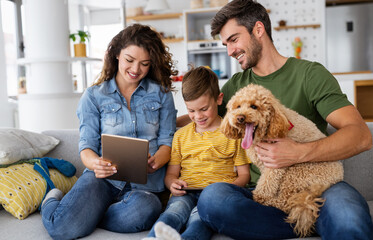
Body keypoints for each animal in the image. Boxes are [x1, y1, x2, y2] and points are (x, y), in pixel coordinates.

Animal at [221, 83, 342, 237]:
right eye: (237, 106)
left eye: (254, 106)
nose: (240, 117)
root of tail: (338, 175)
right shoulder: (263, 164)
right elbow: (265, 181)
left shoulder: (275, 163)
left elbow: (266, 183)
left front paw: (260, 195)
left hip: (296, 172)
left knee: (285, 202)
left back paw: (266, 202)